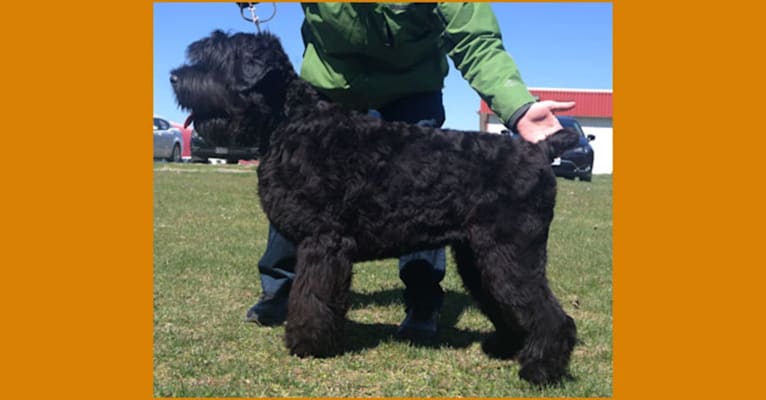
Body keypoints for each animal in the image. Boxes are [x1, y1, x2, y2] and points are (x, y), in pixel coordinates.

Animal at [172, 31, 584, 384]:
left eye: (216, 59)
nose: (175, 77)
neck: (291, 123)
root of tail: (538, 151)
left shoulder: (322, 241)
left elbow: (311, 295)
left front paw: (307, 343)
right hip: (479, 257)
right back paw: (505, 346)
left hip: (510, 254)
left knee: (551, 314)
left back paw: (540, 369)